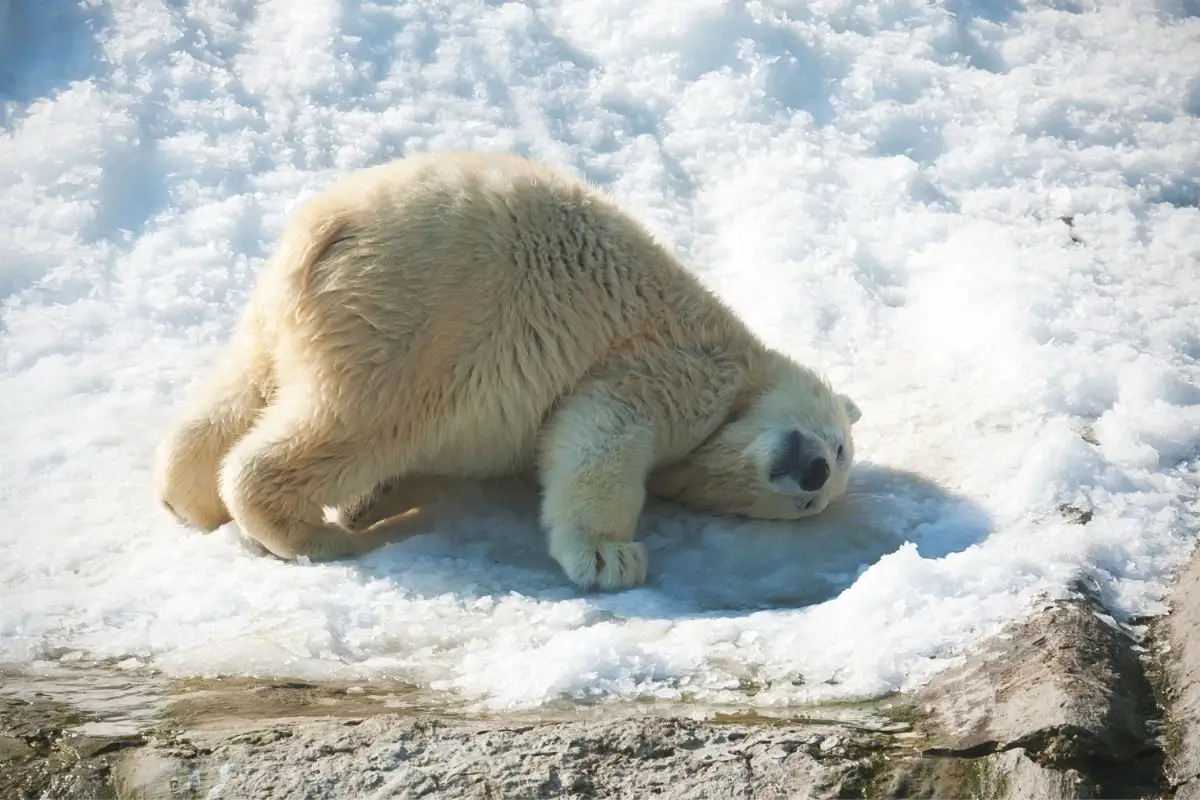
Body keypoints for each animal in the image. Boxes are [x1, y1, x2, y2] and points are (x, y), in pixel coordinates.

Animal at [152, 149, 864, 592]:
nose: (813, 470)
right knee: (363, 420)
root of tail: (330, 225)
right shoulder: (669, 366)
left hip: (285, 312)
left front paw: (372, 501)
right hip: (417, 318)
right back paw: (315, 535)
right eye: (837, 448)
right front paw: (611, 557)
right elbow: (599, 433)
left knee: (246, 388)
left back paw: (189, 497)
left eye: (814, 497)